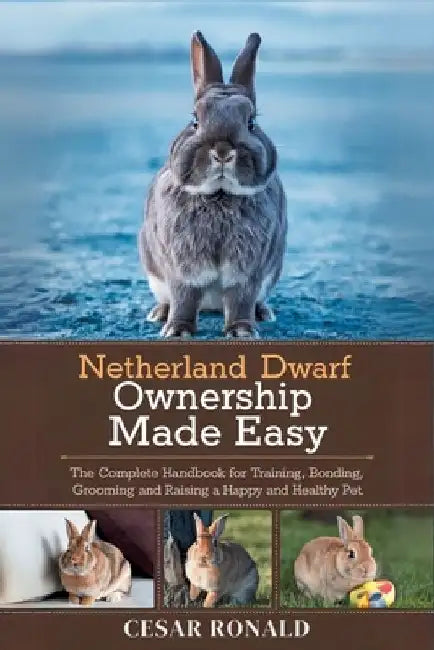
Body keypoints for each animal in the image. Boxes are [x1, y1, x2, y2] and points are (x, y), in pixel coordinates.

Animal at [139, 30, 287, 338]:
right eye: (195, 120)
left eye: (251, 122)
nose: (222, 151)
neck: (219, 195)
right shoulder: (183, 269)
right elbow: (184, 298)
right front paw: (177, 331)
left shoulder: (247, 273)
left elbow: (241, 300)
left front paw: (242, 331)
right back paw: (159, 313)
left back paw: (263, 313)